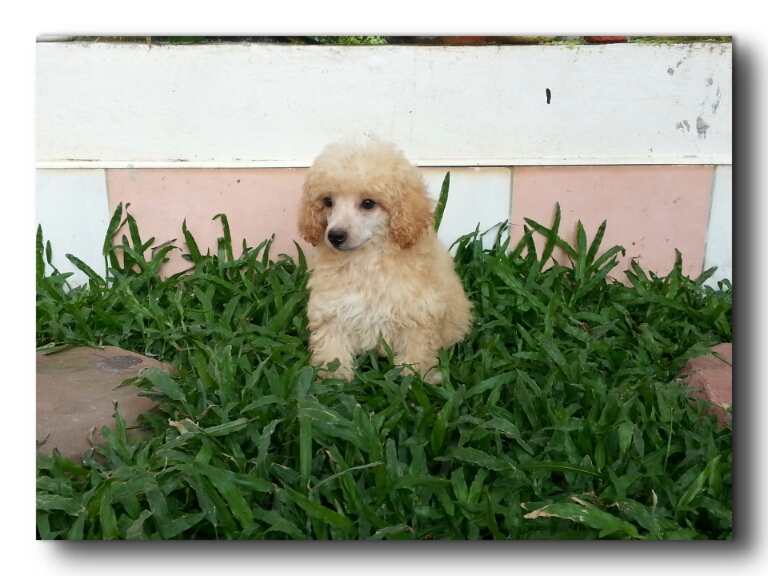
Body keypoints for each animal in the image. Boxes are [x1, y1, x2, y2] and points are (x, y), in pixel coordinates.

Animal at [297, 137, 473, 384]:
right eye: (328, 201)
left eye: (368, 203)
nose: (335, 236)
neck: (366, 259)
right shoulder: (332, 307)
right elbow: (331, 342)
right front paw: (331, 376)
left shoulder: (417, 311)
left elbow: (416, 348)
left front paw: (414, 377)